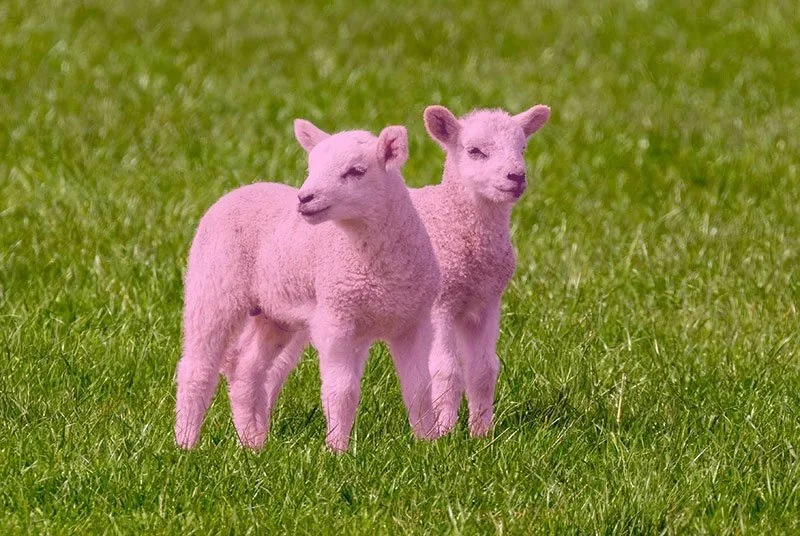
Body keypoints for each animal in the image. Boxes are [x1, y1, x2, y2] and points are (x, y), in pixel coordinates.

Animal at [174, 120, 440, 452]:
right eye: (311, 167)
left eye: (356, 171)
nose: (304, 198)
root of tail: (243, 188)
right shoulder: (336, 317)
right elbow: (342, 390)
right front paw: (338, 451)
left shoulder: (414, 323)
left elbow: (419, 388)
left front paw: (428, 445)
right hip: (213, 284)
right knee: (197, 367)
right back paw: (185, 443)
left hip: (273, 313)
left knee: (245, 368)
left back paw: (252, 444)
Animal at [409, 103, 551, 437]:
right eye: (474, 151)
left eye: (522, 148)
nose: (516, 176)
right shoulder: (440, 304)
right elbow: (446, 372)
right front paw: (445, 432)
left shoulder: (487, 302)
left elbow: (483, 371)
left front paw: (482, 434)